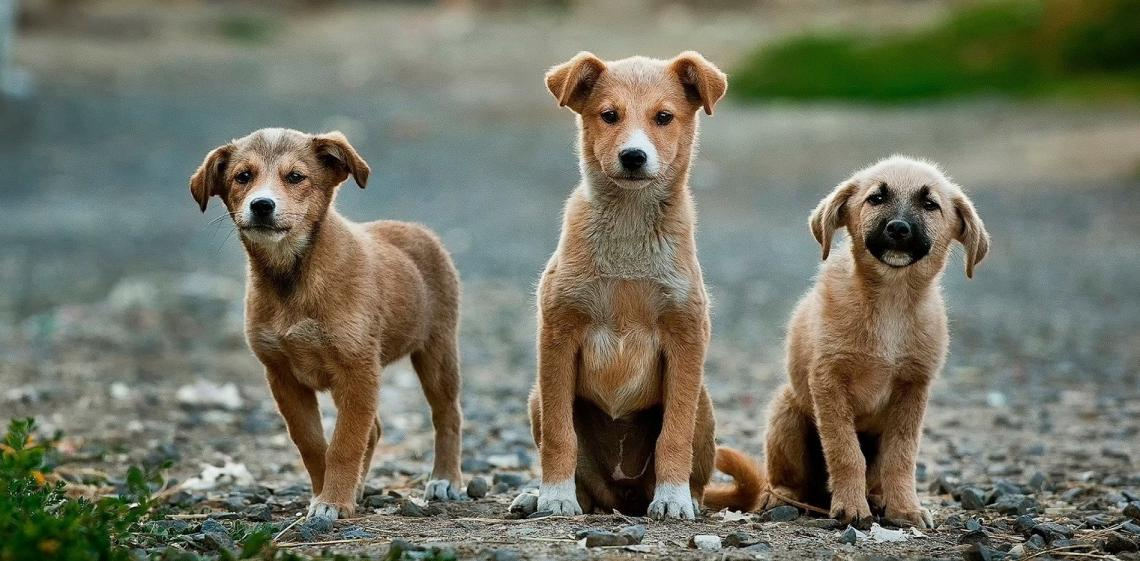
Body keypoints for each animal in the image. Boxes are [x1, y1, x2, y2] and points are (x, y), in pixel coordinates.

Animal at [189, 127, 465, 522]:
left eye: (295, 177)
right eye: (243, 176)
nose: (262, 205)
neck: (293, 277)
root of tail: (417, 229)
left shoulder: (357, 369)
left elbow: (345, 443)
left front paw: (333, 500)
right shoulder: (283, 376)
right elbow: (313, 443)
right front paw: (327, 494)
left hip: (437, 351)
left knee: (447, 414)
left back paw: (445, 479)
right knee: (375, 429)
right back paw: (361, 487)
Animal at [510, 50, 725, 519]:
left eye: (664, 117)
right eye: (609, 115)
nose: (633, 156)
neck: (629, 228)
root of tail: (622, 495)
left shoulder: (686, 336)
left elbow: (673, 434)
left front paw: (673, 498)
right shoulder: (558, 333)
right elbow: (560, 435)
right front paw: (554, 495)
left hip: (703, 403)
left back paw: (684, 498)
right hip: (536, 397)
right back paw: (539, 495)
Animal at [711, 155, 989, 529]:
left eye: (930, 204)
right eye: (876, 198)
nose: (898, 228)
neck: (890, 301)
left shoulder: (913, 388)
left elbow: (901, 457)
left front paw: (905, 508)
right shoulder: (829, 382)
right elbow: (845, 452)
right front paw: (851, 508)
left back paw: (878, 498)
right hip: (787, 411)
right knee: (786, 479)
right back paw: (782, 496)